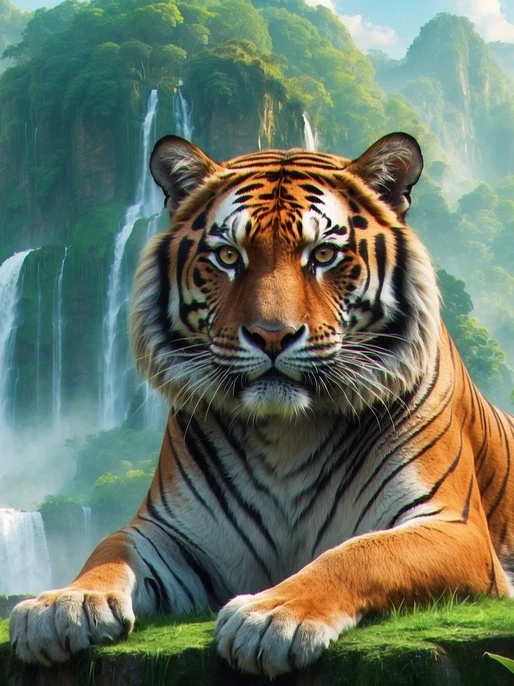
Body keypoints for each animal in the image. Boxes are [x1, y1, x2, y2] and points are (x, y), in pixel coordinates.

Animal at [10, 132, 514, 677]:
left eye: (324, 254)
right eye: (229, 257)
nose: (272, 335)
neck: (286, 432)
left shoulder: (453, 527)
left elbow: (363, 553)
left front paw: (274, 615)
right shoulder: (175, 535)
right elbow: (111, 547)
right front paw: (61, 604)